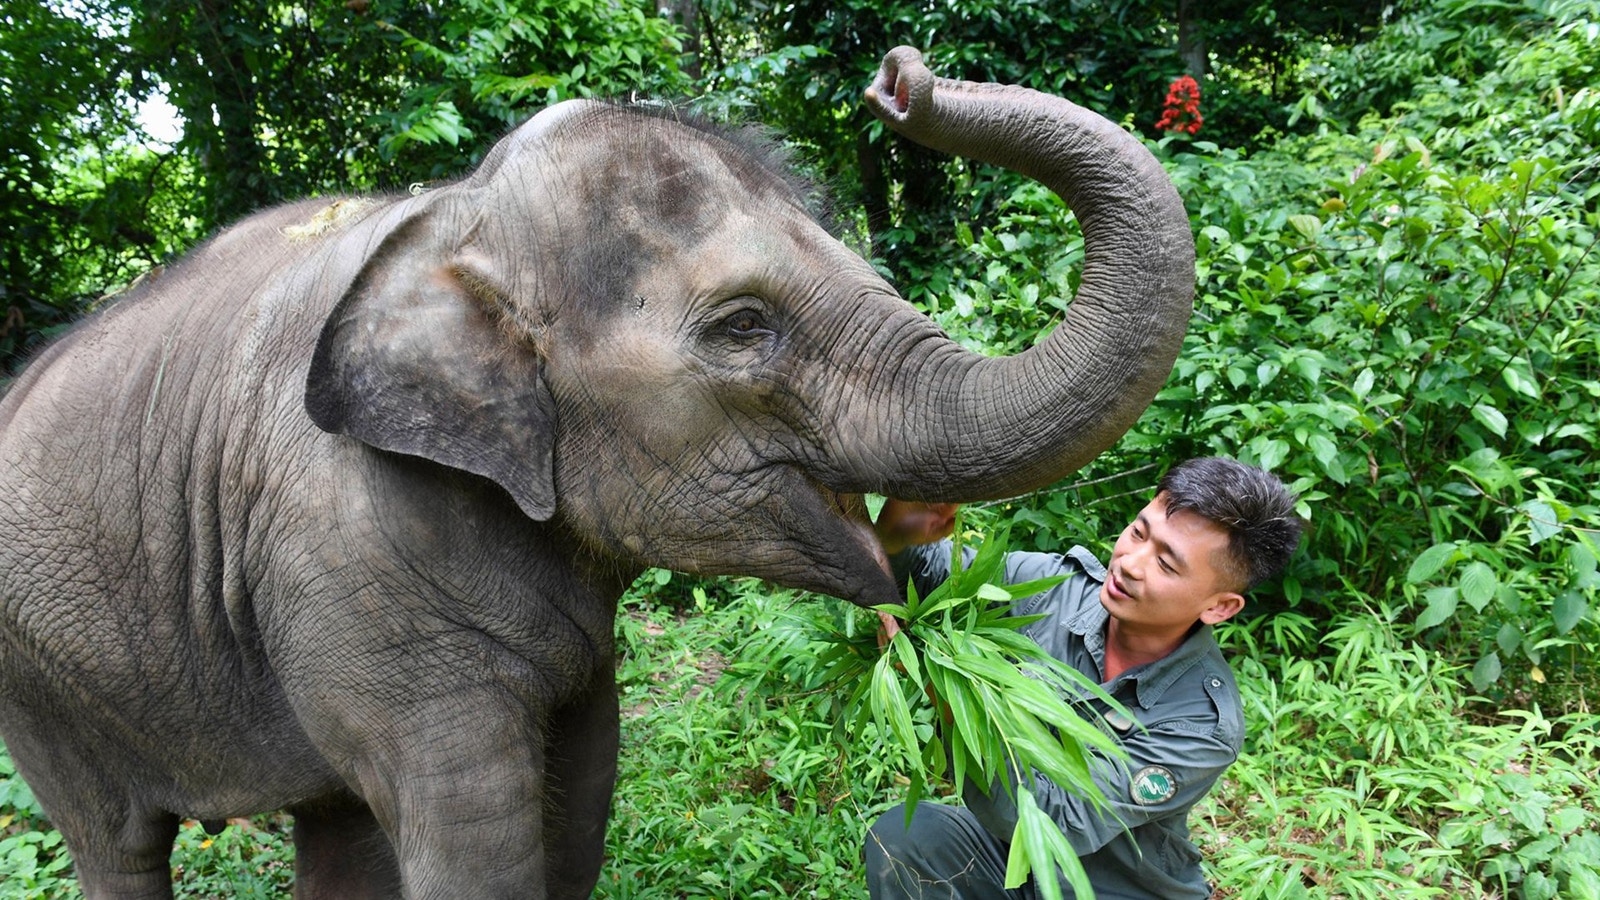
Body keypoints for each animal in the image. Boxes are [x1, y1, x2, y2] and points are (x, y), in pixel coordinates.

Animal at [0, 47, 1196, 896]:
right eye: (742, 328)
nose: (899, 77)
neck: (458, 209)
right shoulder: (347, 555)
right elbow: (477, 851)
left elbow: (578, 813)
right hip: (40, 673)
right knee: (117, 845)